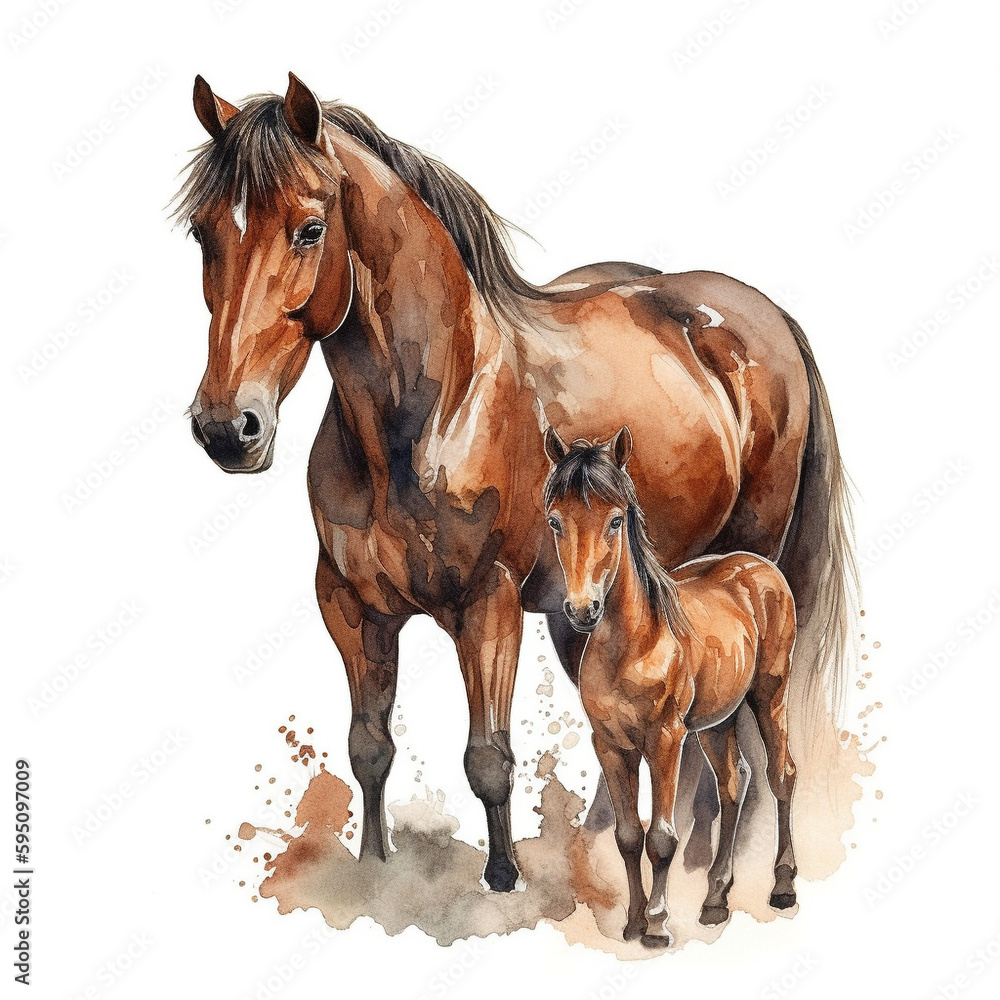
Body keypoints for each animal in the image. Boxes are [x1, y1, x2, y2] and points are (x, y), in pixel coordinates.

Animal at [174, 72, 854, 893]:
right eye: (204, 233)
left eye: (308, 229)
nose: (226, 427)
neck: (432, 409)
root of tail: (766, 315)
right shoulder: (351, 606)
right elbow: (369, 746)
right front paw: (376, 873)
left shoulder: (487, 604)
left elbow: (488, 759)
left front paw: (502, 881)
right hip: (588, 610)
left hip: (749, 563)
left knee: (737, 736)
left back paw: (710, 868)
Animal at [542, 427, 798, 946]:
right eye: (556, 521)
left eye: (616, 520)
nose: (583, 610)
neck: (634, 645)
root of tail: (760, 568)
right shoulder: (611, 746)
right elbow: (627, 836)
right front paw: (633, 922)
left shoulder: (665, 741)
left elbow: (661, 837)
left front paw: (657, 925)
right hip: (716, 722)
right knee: (734, 783)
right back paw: (715, 899)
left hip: (770, 696)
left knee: (781, 775)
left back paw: (782, 887)